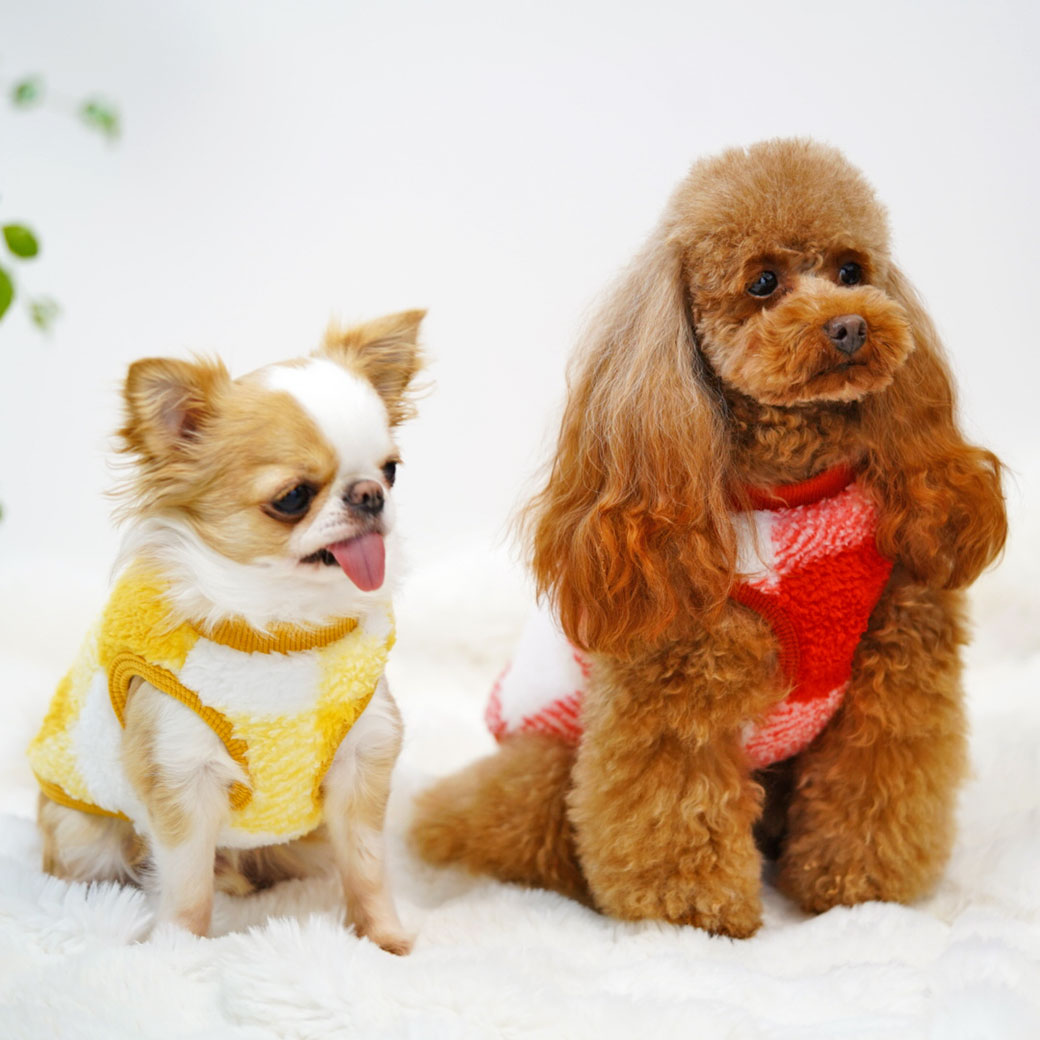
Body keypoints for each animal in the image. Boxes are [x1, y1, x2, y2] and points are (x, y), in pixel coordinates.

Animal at [29, 310, 424, 953]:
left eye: (391, 471)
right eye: (292, 497)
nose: (370, 495)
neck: (280, 625)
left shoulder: (362, 759)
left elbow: (367, 870)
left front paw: (384, 940)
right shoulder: (179, 776)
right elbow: (188, 884)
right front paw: (179, 951)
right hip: (82, 833)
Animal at [410, 139, 1008, 938]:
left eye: (852, 271)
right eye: (763, 282)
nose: (848, 325)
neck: (793, 489)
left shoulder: (898, 669)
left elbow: (874, 785)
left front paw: (856, 891)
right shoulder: (674, 690)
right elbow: (675, 805)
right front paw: (693, 916)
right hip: (543, 762)